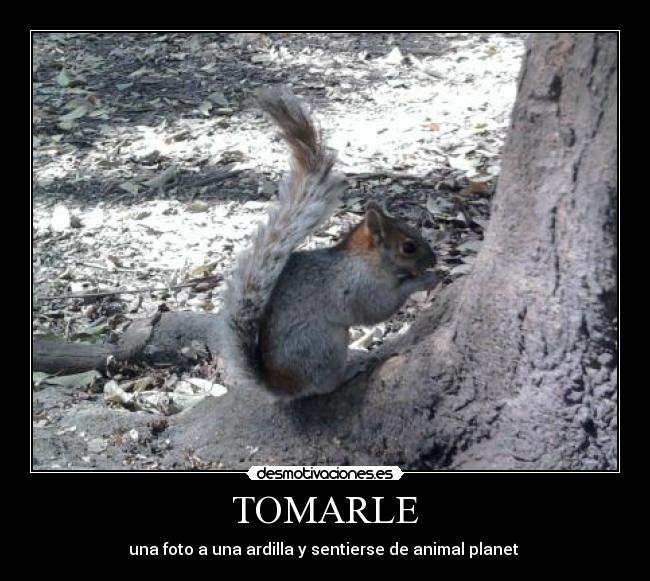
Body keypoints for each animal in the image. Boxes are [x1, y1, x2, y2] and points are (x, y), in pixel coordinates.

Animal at [219, 88, 439, 399]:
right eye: (408, 247)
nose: (434, 259)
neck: (365, 259)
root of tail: (283, 387)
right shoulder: (360, 288)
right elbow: (380, 307)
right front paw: (426, 279)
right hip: (326, 346)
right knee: (326, 385)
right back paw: (351, 369)